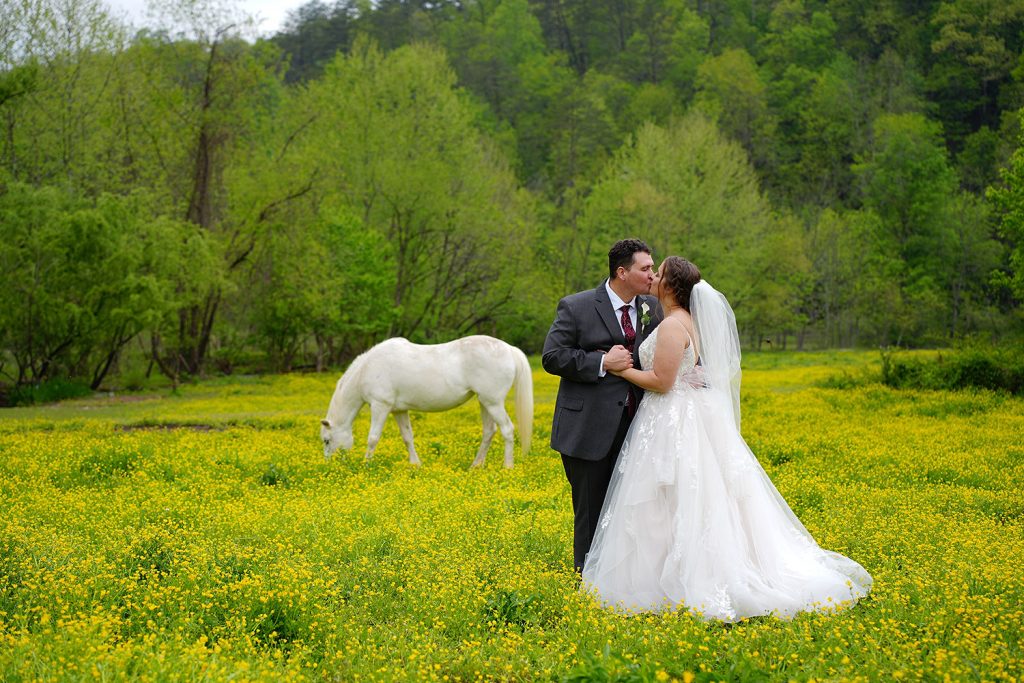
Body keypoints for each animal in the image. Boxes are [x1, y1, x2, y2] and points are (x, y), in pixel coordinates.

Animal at [321, 335, 536, 471]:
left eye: (327, 440)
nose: (332, 465)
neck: (368, 369)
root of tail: (509, 349)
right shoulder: (399, 410)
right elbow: (407, 437)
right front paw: (416, 465)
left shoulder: (380, 406)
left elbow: (373, 438)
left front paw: (366, 465)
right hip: (485, 402)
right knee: (489, 432)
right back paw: (475, 466)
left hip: (494, 403)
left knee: (507, 430)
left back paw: (507, 467)